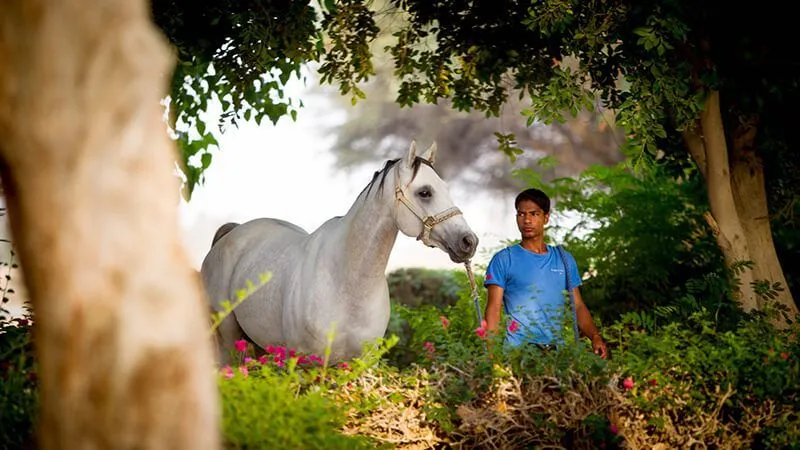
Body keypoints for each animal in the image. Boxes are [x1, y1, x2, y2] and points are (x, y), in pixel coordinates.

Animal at [202, 142, 476, 364]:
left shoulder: (365, 364)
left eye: (445, 188)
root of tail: (232, 233)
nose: (469, 242)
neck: (346, 281)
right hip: (227, 338)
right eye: (425, 192)